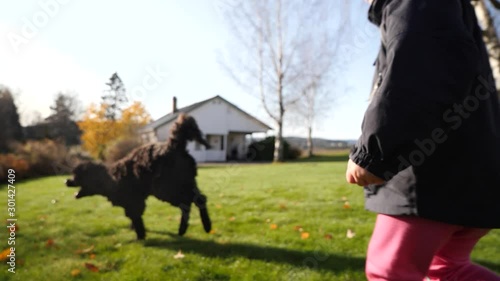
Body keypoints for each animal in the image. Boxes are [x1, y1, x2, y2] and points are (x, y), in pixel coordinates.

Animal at [66, 113, 211, 238]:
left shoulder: (133, 200)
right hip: (186, 183)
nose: (66, 181)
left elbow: (136, 217)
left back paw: (201, 227)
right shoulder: (134, 201)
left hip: (169, 189)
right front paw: (135, 230)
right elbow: (134, 217)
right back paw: (192, 228)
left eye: (77, 175)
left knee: (191, 202)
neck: (111, 178)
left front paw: (140, 236)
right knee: (199, 199)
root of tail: (175, 146)